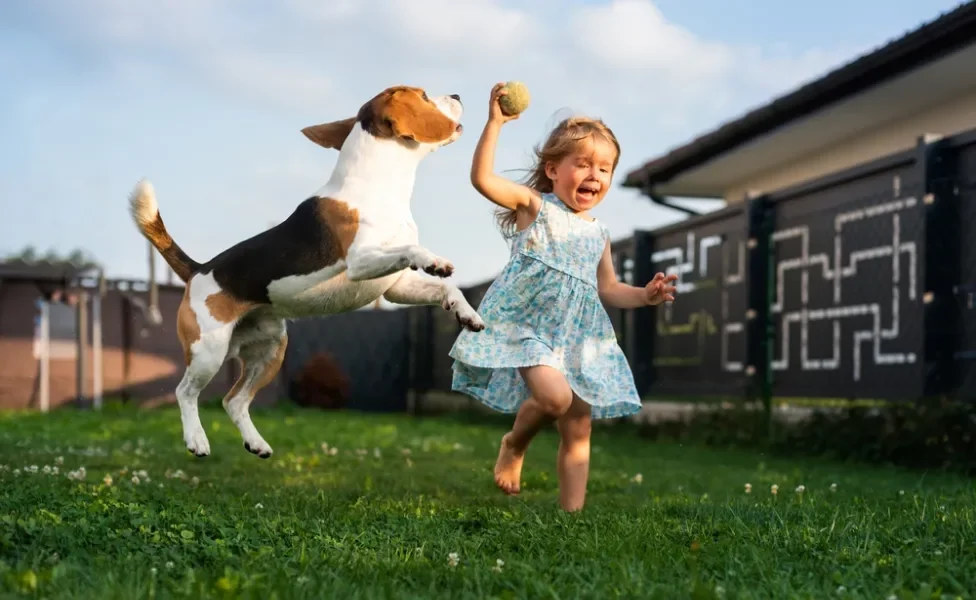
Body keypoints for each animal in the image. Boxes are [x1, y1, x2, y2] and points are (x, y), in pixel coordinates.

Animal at [127, 85, 486, 460]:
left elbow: (448, 289)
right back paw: (196, 439)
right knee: (185, 392)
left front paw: (466, 314)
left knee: (234, 401)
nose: (457, 94)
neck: (377, 185)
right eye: (424, 96)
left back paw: (256, 443)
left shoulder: (394, 286)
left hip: (271, 351)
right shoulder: (360, 263)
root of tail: (198, 270)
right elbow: (412, 251)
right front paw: (434, 260)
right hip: (208, 352)